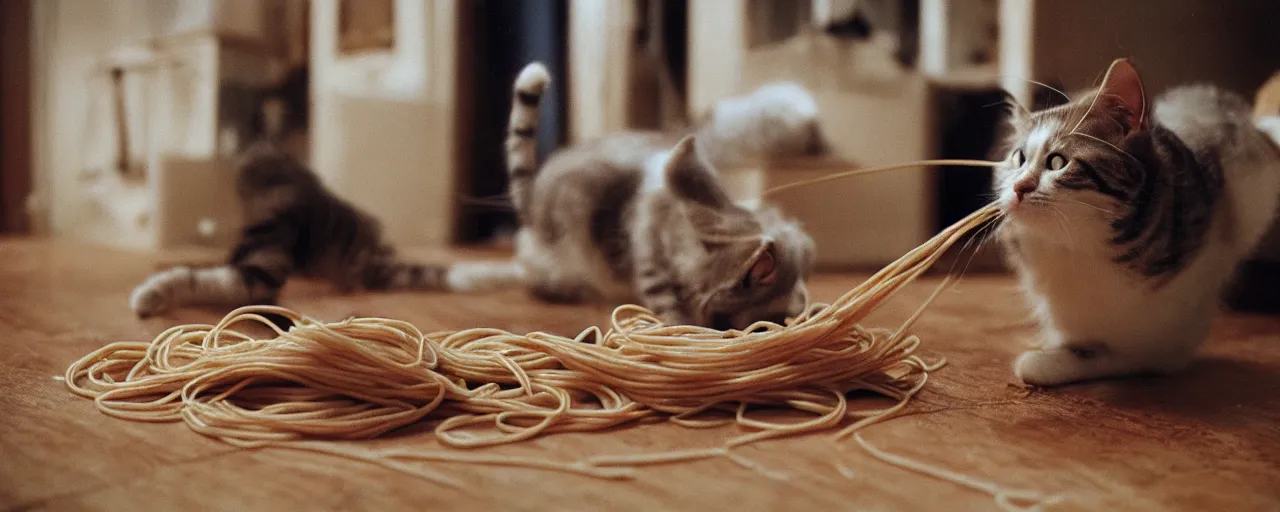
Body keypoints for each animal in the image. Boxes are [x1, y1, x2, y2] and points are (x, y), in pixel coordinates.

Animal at [993, 57, 1280, 386]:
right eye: (1019, 159)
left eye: (1057, 162)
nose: (1018, 187)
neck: (1076, 248)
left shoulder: (1165, 341)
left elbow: (1127, 356)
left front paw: (1048, 362)